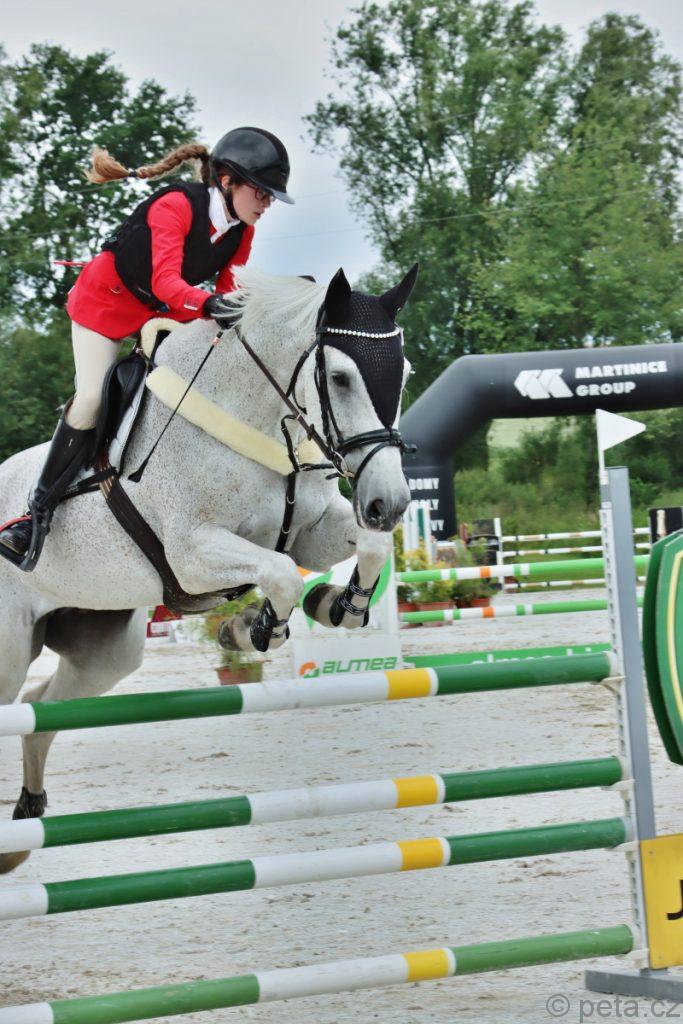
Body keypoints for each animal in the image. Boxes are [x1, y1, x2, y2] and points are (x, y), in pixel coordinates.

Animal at [0, 263, 417, 872]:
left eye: (404, 371)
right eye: (339, 378)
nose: (390, 503)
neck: (259, 418)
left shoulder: (312, 530)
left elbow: (368, 549)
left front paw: (336, 605)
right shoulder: (194, 553)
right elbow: (280, 573)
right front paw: (254, 628)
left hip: (104, 652)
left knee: (38, 711)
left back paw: (25, 822)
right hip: (9, 650)